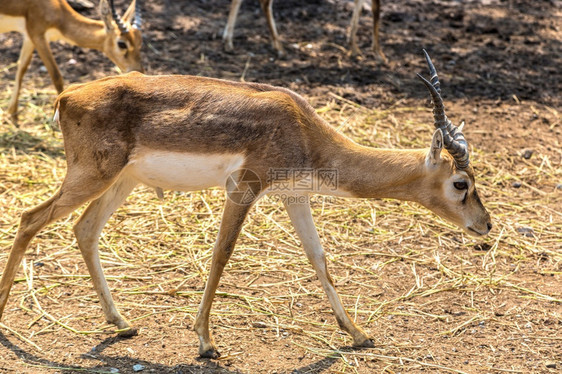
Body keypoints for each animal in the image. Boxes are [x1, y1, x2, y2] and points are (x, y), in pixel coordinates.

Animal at [0, 0, 143, 122]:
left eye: (139, 42)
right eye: (122, 44)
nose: (138, 69)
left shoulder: (29, 37)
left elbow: (22, 68)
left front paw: (13, 114)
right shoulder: (38, 35)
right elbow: (56, 76)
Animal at [0, 51, 488, 358]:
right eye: (460, 183)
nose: (484, 225)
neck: (303, 129)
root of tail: (66, 97)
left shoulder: (295, 195)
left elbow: (319, 258)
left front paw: (358, 334)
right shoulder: (245, 186)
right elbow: (222, 254)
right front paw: (205, 342)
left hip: (123, 180)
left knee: (84, 229)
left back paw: (122, 322)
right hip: (93, 176)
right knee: (29, 219)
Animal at [223, 0, 384, 60]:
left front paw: (354, 47)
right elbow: (376, 9)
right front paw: (379, 53)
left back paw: (228, 40)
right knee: (265, 3)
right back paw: (280, 48)